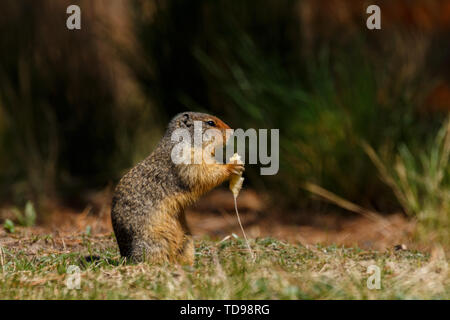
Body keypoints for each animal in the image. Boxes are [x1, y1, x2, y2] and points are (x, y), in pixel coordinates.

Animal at [111, 112, 244, 264]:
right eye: (210, 123)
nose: (232, 130)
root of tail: (125, 256)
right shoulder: (187, 157)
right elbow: (203, 173)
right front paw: (232, 166)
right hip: (154, 242)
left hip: (187, 240)